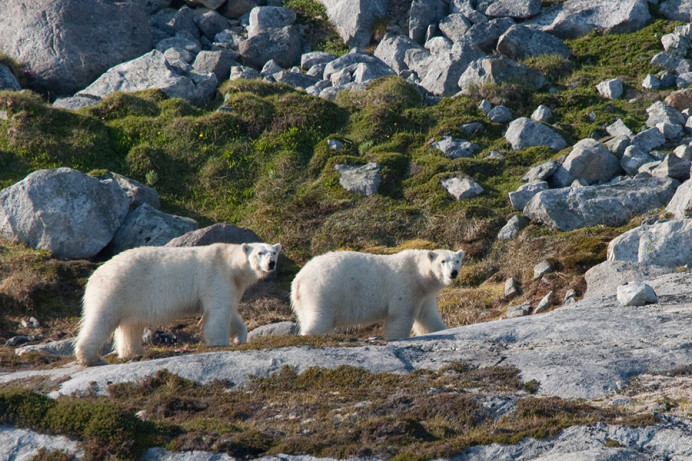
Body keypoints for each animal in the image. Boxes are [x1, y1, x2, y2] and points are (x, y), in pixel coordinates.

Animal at [75, 242, 281, 366]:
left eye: (274, 252)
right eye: (260, 252)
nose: (271, 263)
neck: (230, 264)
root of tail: (94, 276)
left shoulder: (233, 285)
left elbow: (230, 311)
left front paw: (240, 337)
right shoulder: (216, 277)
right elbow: (218, 311)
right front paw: (220, 342)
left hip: (132, 297)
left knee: (131, 325)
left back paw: (135, 350)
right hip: (116, 289)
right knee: (102, 319)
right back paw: (93, 358)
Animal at [290, 248, 464, 339]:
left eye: (457, 261)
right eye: (443, 261)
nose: (453, 273)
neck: (417, 273)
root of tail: (298, 279)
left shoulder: (424, 295)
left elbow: (428, 318)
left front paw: (442, 329)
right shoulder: (403, 288)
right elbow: (399, 317)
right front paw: (395, 338)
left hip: (305, 300)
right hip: (323, 291)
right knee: (319, 318)